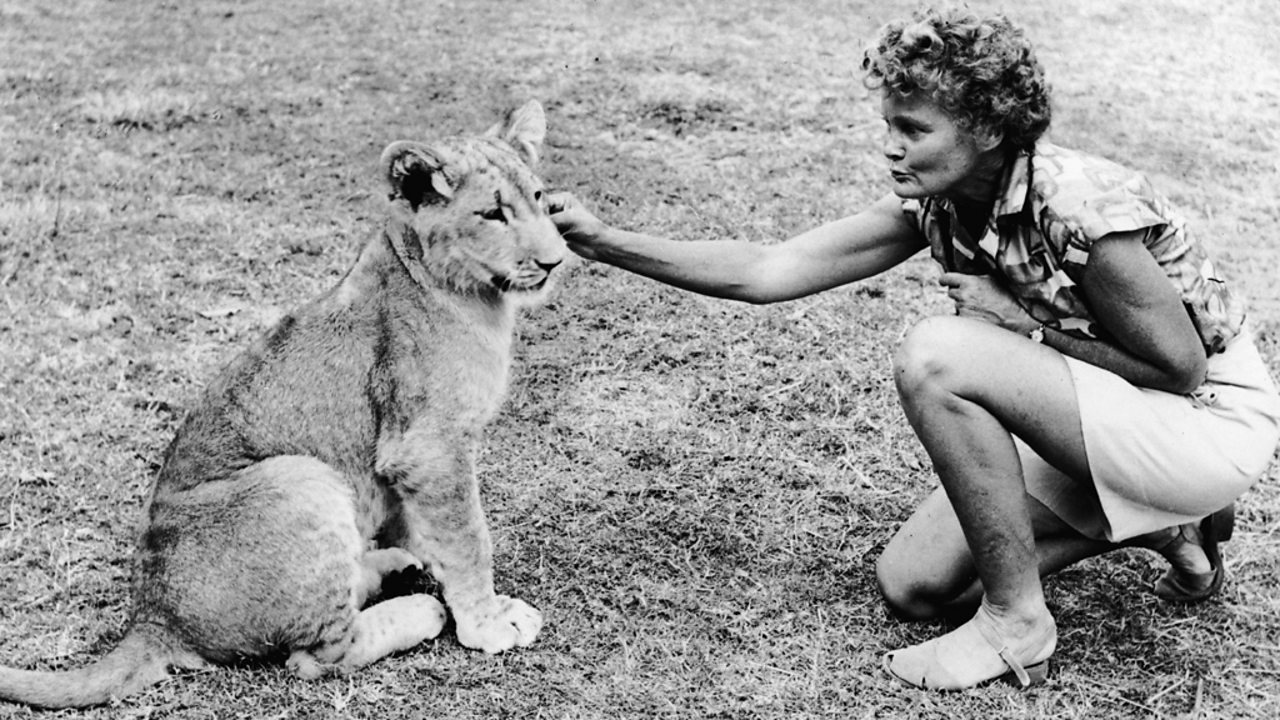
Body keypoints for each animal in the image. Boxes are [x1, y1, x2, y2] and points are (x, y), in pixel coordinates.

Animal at [0, 100, 564, 708]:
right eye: (492, 214)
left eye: (540, 197)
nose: (556, 261)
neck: (475, 297)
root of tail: (152, 618)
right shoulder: (428, 448)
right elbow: (468, 539)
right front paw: (488, 622)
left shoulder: (407, 466)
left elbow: (424, 528)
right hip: (300, 478)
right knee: (318, 655)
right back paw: (419, 606)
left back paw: (388, 568)